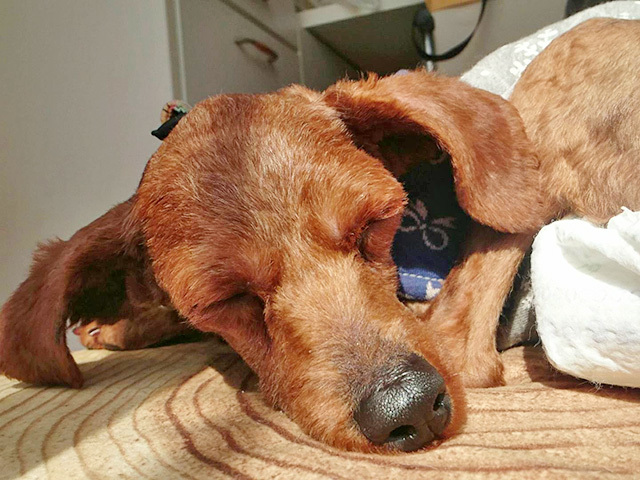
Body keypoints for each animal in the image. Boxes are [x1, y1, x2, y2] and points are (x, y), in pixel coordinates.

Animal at [1, 18, 638, 453]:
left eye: (375, 223)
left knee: (464, 344)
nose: (409, 407)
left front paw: (115, 326)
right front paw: (114, 322)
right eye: (224, 298)